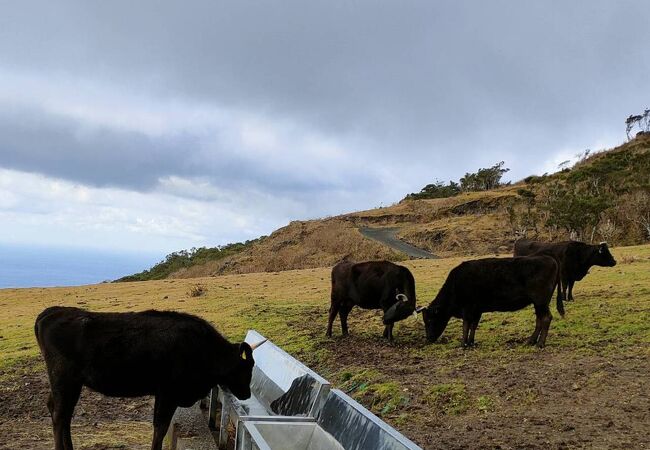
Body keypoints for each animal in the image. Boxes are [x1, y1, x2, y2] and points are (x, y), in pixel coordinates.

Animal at [34, 306, 268, 450]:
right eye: (245, 368)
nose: (246, 394)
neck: (203, 348)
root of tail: (52, 312)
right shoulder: (168, 393)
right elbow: (160, 427)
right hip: (64, 380)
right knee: (59, 415)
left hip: (70, 384)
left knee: (61, 413)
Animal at [416, 256, 556, 348]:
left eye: (429, 320)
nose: (428, 339)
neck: (455, 284)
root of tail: (549, 260)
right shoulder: (477, 310)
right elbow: (473, 326)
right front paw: (471, 342)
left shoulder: (467, 309)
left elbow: (466, 325)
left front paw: (463, 343)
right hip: (538, 304)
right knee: (539, 319)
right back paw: (531, 341)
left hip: (540, 301)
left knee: (546, 318)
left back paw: (540, 343)